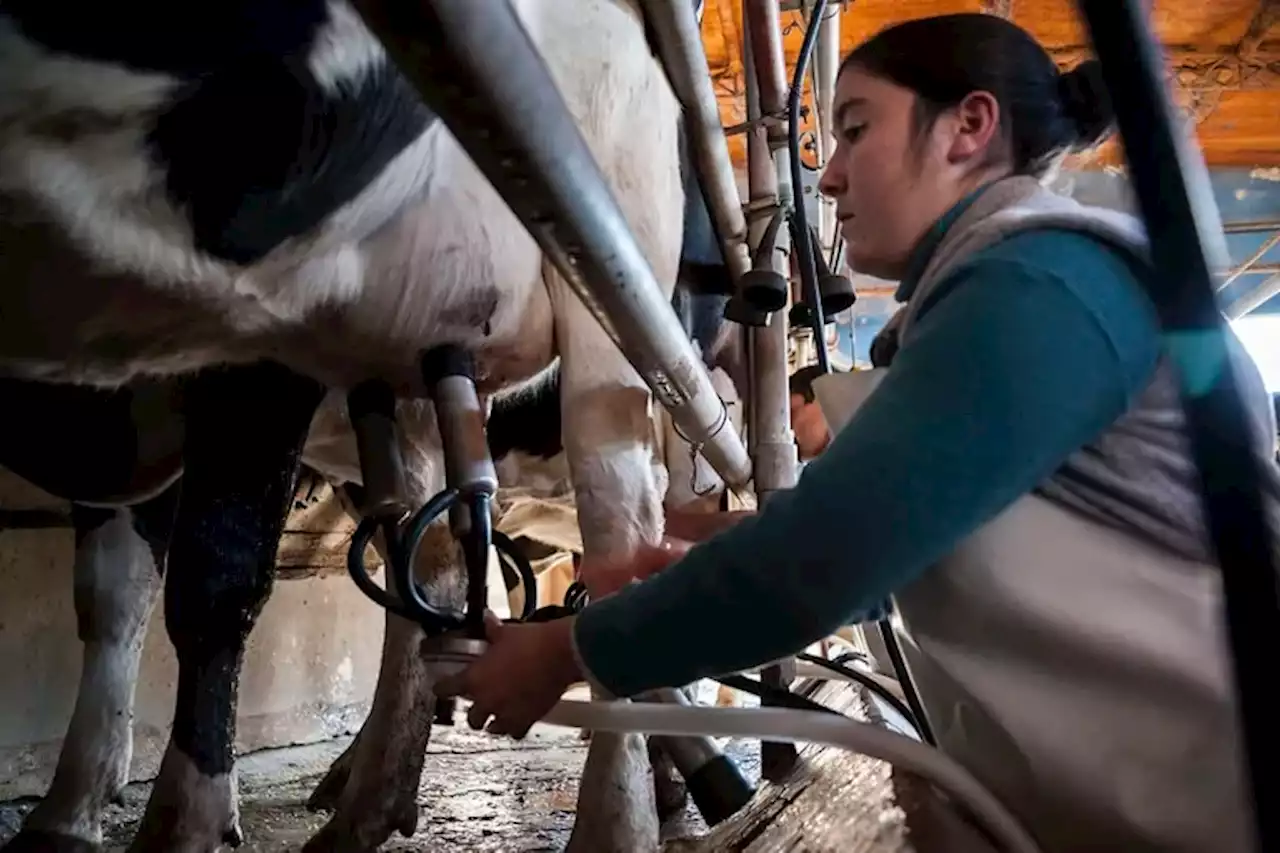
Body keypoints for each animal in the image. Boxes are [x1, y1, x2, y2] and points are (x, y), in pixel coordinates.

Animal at [0, 0, 742, 845]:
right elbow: (110, 596)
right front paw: (69, 805)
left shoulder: (261, 347)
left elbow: (213, 583)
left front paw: (185, 817)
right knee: (439, 567)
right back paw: (370, 796)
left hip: (616, 282)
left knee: (621, 529)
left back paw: (620, 817)